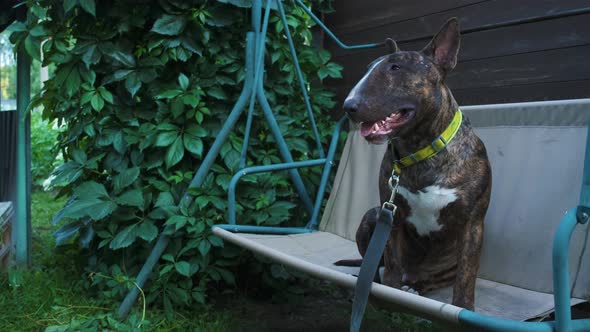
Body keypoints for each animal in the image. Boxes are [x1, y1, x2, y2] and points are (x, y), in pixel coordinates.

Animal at [340, 18, 492, 312]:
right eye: (368, 69)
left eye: (395, 67)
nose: (348, 105)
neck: (421, 151)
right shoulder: (391, 214)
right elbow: (392, 262)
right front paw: (388, 291)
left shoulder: (473, 224)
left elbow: (466, 277)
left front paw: (463, 308)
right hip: (372, 216)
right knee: (375, 266)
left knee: (431, 280)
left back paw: (416, 287)